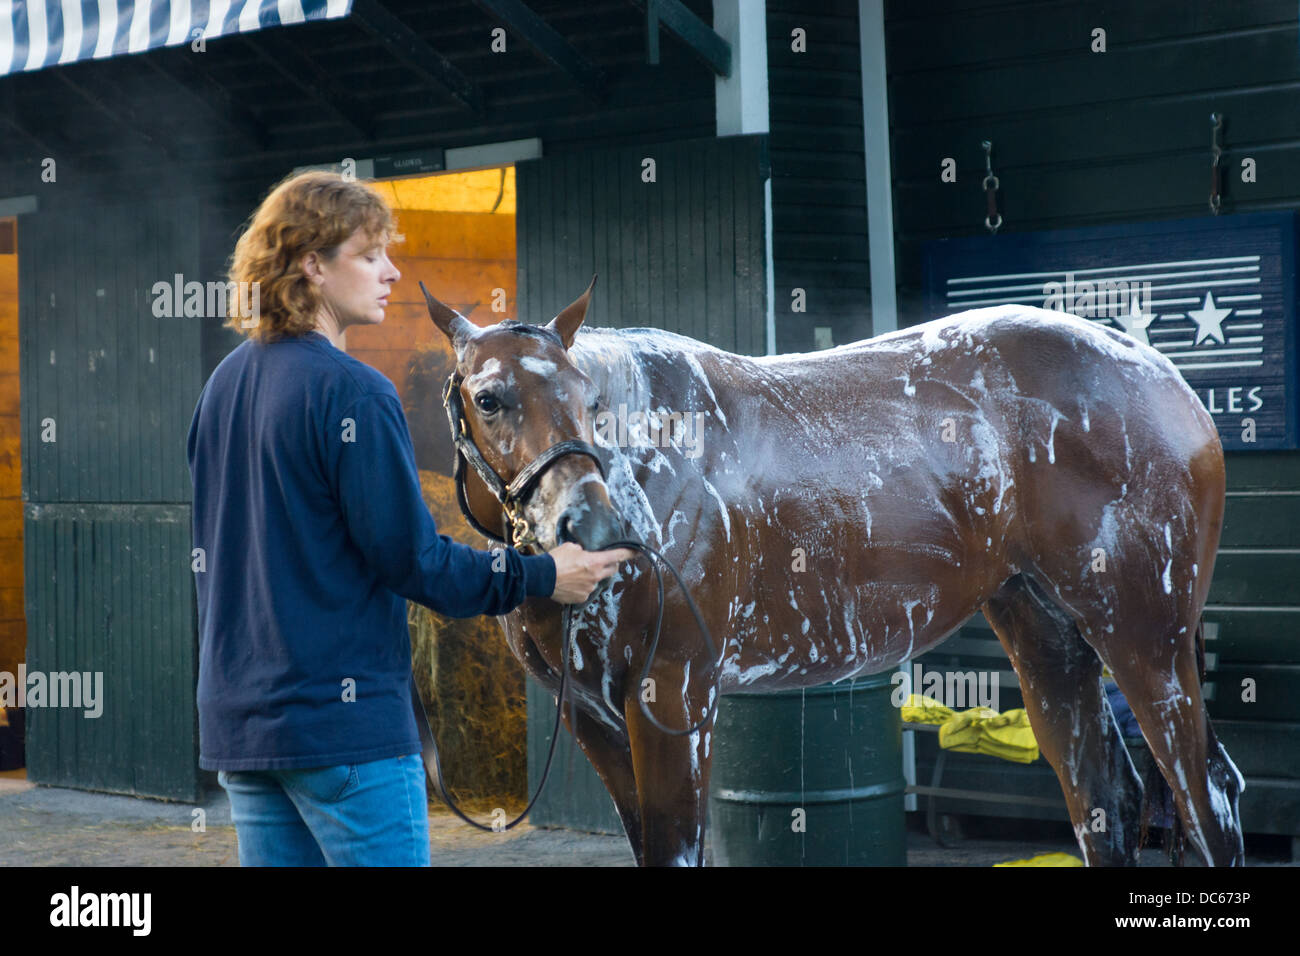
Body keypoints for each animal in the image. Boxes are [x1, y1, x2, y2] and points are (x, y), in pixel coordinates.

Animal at [421, 277, 1242, 868]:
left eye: (587, 400)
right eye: (488, 399)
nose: (590, 529)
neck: (651, 461)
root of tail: (1165, 379)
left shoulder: (673, 697)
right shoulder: (594, 716)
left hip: (1145, 639)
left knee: (1209, 800)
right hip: (1047, 634)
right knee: (1106, 804)